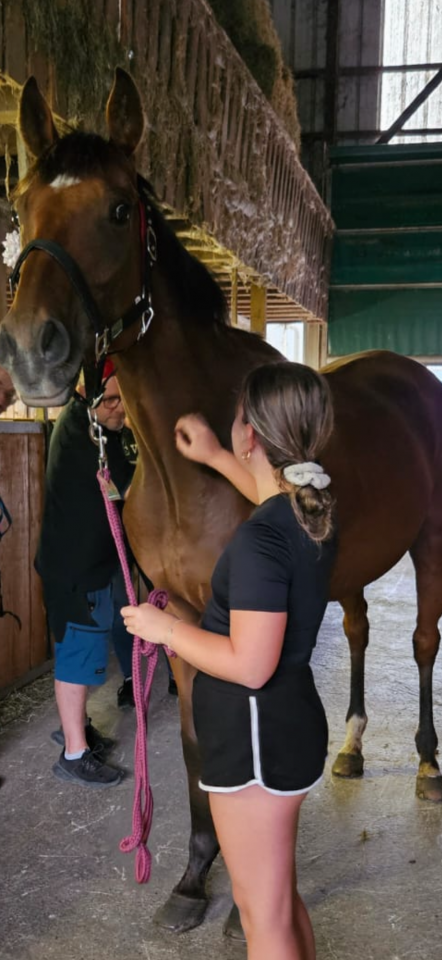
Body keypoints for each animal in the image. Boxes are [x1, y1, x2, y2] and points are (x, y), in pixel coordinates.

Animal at [2, 68, 442, 935]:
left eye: (118, 209)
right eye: (20, 206)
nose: (33, 350)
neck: (189, 471)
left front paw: (254, 896)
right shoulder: (180, 617)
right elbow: (199, 748)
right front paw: (195, 877)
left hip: (433, 544)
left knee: (422, 643)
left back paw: (428, 761)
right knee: (361, 632)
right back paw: (352, 746)